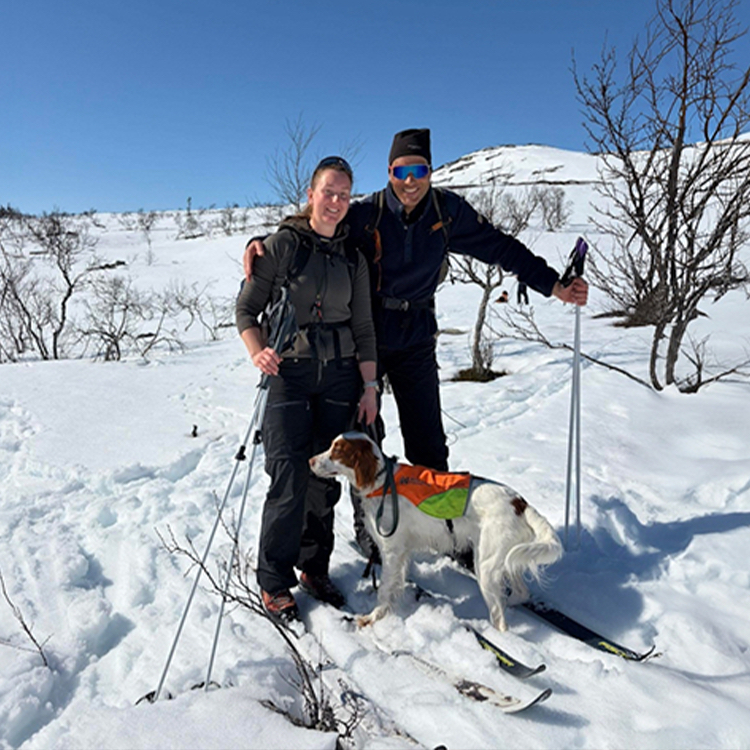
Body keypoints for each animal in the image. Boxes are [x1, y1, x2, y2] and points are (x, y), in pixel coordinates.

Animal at [309, 432, 563, 632]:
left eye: (337, 450)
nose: (310, 460)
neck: (381, 481)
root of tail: (519, 502)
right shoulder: (401, 553)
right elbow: (396, 586)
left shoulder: (391, 551)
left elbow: (384, 590)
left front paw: (372, 618)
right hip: (504, 558)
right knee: (520, 593)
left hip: (486, 566)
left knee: (501, 620)